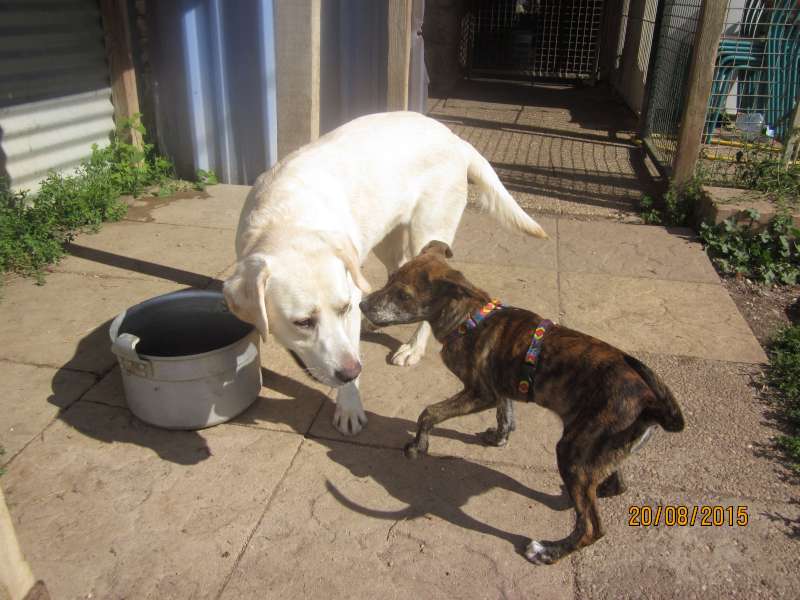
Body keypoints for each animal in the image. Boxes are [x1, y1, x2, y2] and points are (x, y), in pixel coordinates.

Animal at [228, 110, 548, 434]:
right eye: (302, 322)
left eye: (343, 309)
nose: (352, 371)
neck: (287, 221)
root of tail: (454, 138)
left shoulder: (351, 292)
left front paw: (350, 407)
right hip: (387, 239)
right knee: (398, 269)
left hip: (427, 235)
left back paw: (412, 347)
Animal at [360, 241, 684, 564]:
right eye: (389, 279)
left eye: (403, 295)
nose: (362, 305)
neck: (469, 318)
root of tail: (649, 403)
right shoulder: (499, 388)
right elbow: (505, 413)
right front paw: (499, 437)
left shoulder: (480, 393)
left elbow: (429, 413)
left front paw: (418, 445)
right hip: (599, 452)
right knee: (613, 487)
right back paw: (585, 494)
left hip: (573, 450)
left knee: (592, 527)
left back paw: (548, 551)